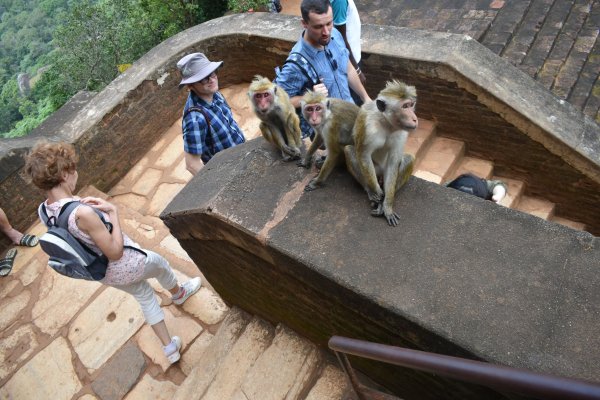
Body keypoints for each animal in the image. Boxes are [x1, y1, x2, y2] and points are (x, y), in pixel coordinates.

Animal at [342, 79, 418, 227]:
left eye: (411, 105)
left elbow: (394, 162)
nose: (414, 119)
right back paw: (371, 192)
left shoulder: (402, 133)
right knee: (349, 151)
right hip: (376, 170)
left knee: (408, 160)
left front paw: (387, 206)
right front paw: (376, 191)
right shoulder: (368, 125)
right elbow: (363, 154)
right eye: (405, 106)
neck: (387, 123)